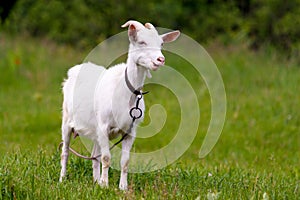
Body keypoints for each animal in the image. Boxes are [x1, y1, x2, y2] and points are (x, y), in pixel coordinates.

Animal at [59, 20, 179, 191]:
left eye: (161, 44)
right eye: (141, 42)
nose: (160, 59)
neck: (126, 92)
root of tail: (75, 70)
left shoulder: (130, 131)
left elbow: (125, 161)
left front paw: (122, 187)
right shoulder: (104, 126)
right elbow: (106, 158)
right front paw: (105, 185)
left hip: (95, 130)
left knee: (94, 155)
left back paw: (95, 181)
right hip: (67, 119)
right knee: (65, 151)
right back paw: (62, 179)